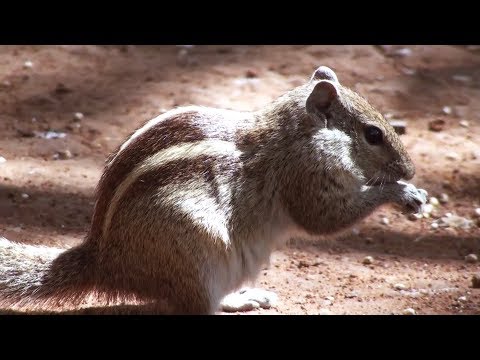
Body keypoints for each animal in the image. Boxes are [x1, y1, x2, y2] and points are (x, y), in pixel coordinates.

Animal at [0, 66, 428, 314]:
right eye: (373, 135)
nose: (410, 168)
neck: (294, 133)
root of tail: (105, 260)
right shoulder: (306, 175)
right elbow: (323, 219)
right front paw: (403, 192)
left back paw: (244, 298)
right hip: (197, 252)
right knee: (197, 308)